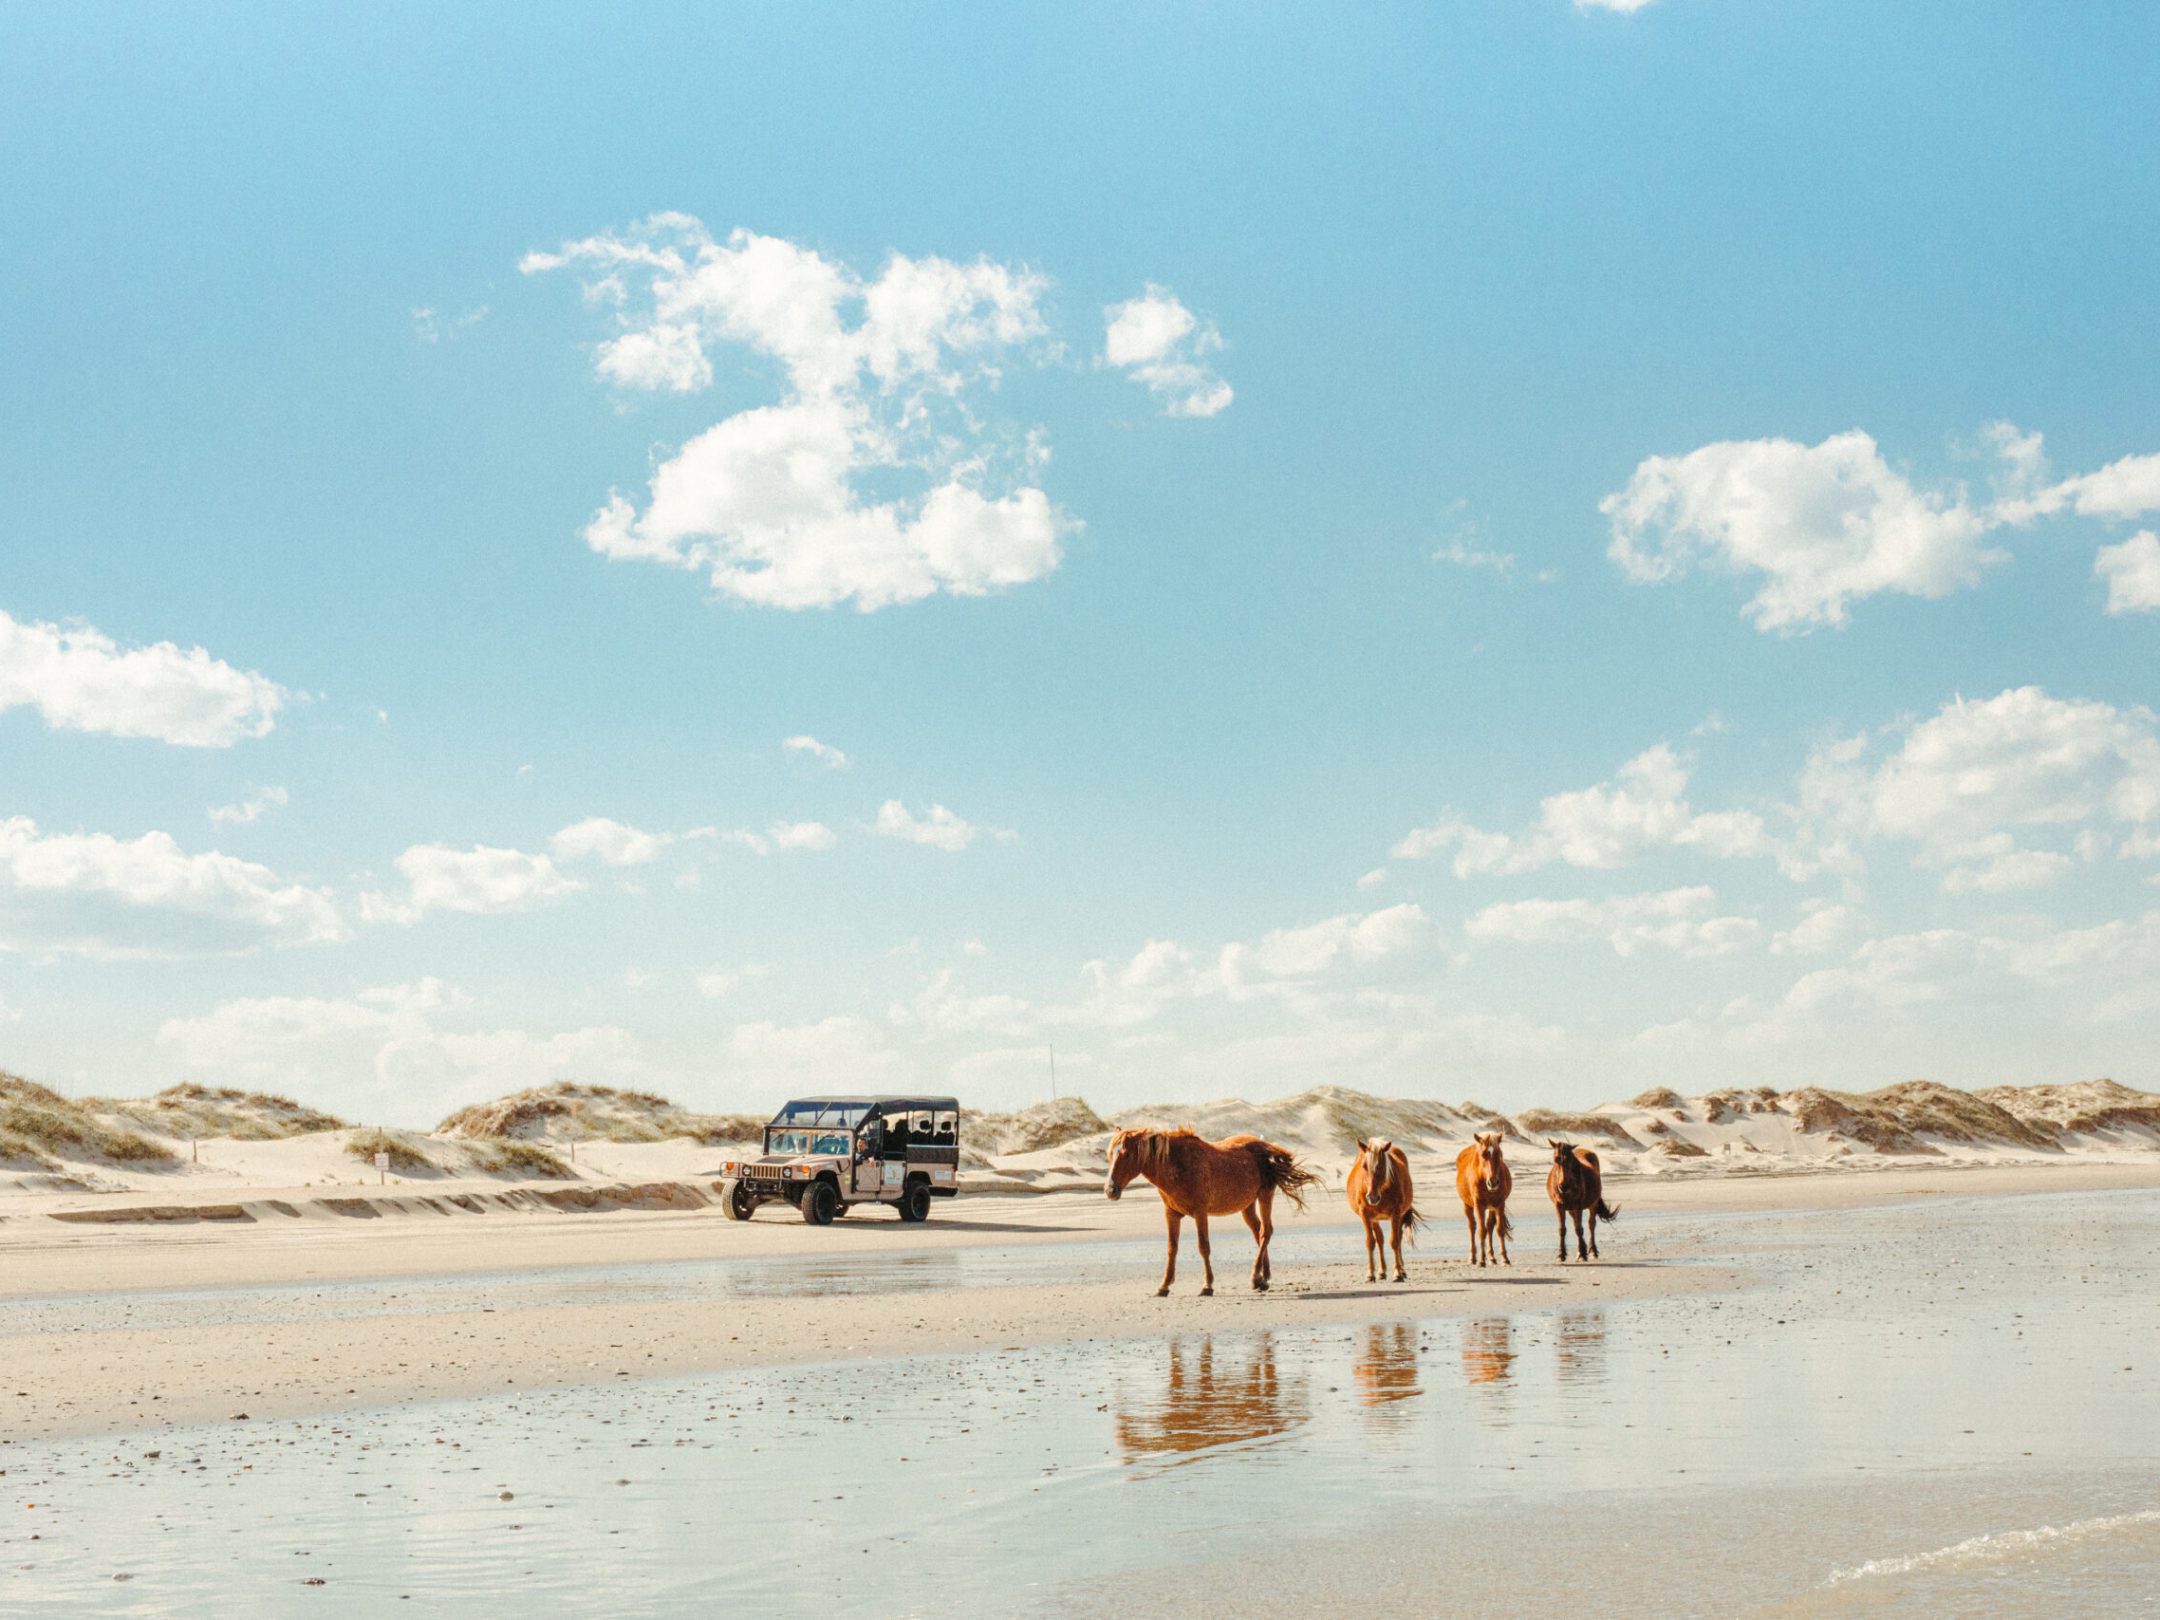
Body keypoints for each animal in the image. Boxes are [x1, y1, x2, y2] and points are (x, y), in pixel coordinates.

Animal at [1114, 1123, 1313, 1304]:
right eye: (1110, 1155)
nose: (1111, 1190)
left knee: (1266, 1232)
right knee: (1258, 1232)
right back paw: (1263, 1278)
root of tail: (1268, 1146)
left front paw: (1207, 1286)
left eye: (1126, 1154)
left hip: (1265, 1195)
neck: (1177, 1165)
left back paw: (1256, 1277)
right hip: (1247, 1205)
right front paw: (1163, 1287)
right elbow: (1172, 1248)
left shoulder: (1200, 1212)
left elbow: (1203, 1247)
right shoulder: (1171, 1214)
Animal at [1347, 1131, 1416, 1287]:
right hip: (1375, 1219)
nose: (1372, 1198)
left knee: (1398, 1237)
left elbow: (1394, 1241)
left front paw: (1397, 1273)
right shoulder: (1365, 1215)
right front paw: (1370, 1274)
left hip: (1399, 1215)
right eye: (1364, 1166)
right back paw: (1382, 1271)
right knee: (1379, 1239)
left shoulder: (1396, 1213)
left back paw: (1401, 1270)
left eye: (1382, 1166)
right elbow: (1370, 1242)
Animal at [1460, 1131, 1512, 1270]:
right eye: (1483, 1155)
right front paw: (1481, 1260)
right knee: (1472, 1227)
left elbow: (1499, 1230)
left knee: (1489, 1226)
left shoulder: (1499, 1204)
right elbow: (1481, 1231)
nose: (1493, 1183)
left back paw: (1492, 1258)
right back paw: (1472, 1257)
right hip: (1467, 1205)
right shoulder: (1479, 1205)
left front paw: (1504, 1258)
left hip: (1491, 1207)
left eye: (1499, 1154)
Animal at [1555, 1140, 1624, 1270]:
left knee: (1591, 1224)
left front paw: (1583, 1253)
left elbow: (1581, 1227)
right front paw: (1573, 1253)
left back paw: (1593, 1251)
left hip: (1593, 1204)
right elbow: (1571, 1227)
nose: (1563, 1186)